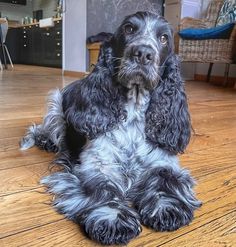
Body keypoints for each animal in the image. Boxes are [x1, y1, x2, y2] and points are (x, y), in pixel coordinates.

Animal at [20, 11, 201, 245]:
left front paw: (167, 208)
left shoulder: (163, 161)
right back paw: (46, 142)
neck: (133, 108)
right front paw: (113, 219)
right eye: (129, 29)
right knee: (41, 129)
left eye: (163, 38)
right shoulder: (97, 163)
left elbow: (164, 180)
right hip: (55, 102)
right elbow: (103, 187)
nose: (143, 53)